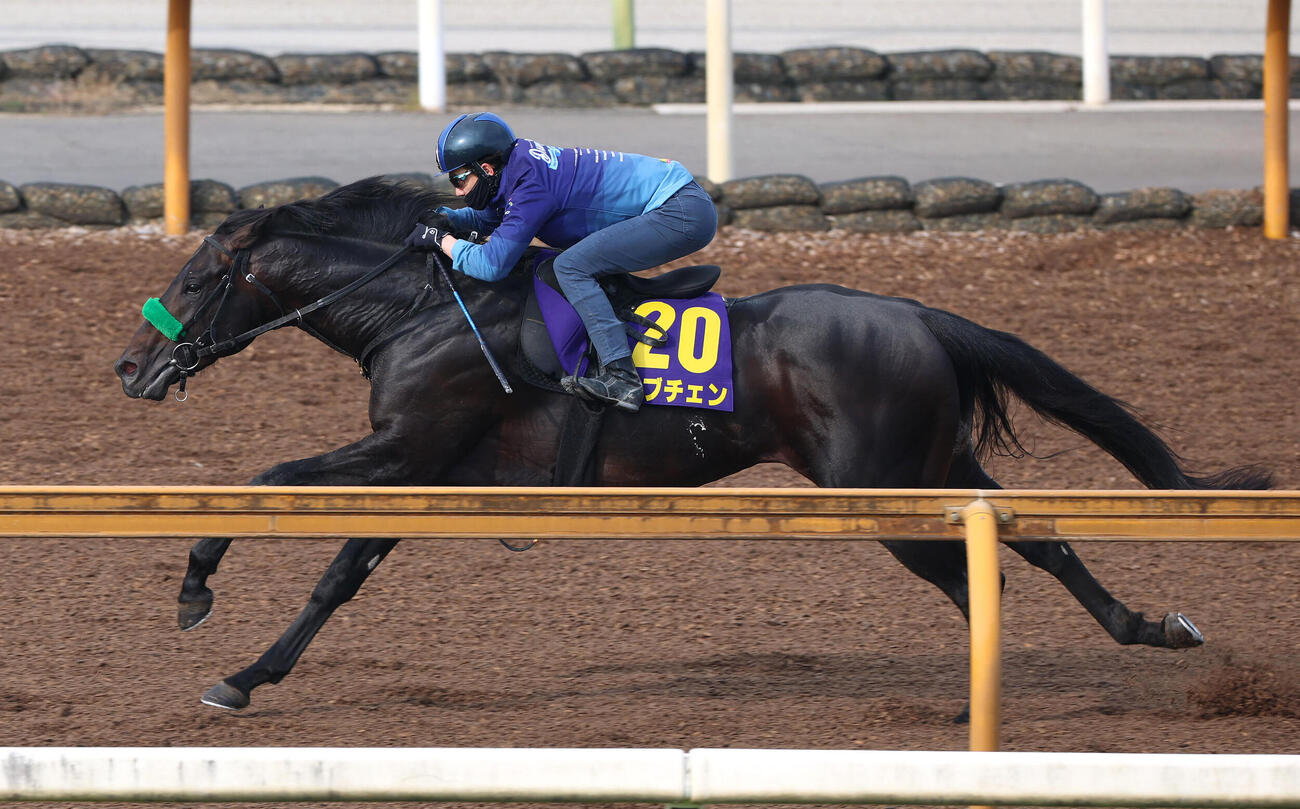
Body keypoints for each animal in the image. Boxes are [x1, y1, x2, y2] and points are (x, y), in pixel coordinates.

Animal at [114, 177, 1271, 711]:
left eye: (198, 277)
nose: (130, 366)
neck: (425, 305)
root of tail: (917, 311)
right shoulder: (431, 468)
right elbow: (341, 573)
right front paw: (246, 674)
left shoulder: (405, 448)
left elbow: (266, 479)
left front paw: (196, 589)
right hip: (937, 462)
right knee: (1034, 541)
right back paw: (1147, 627)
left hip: (878, 481)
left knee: (970, 570)